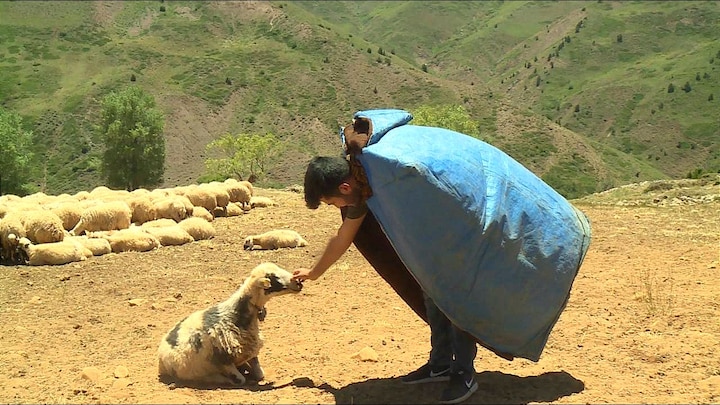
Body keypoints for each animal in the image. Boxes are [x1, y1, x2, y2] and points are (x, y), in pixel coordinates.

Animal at [156, 260, 302, 386]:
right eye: (273, 277)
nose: (298, 283)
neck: (235, 315)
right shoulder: (224, 361)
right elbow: (240, 380)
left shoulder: (249, 352)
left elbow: (260, 374)